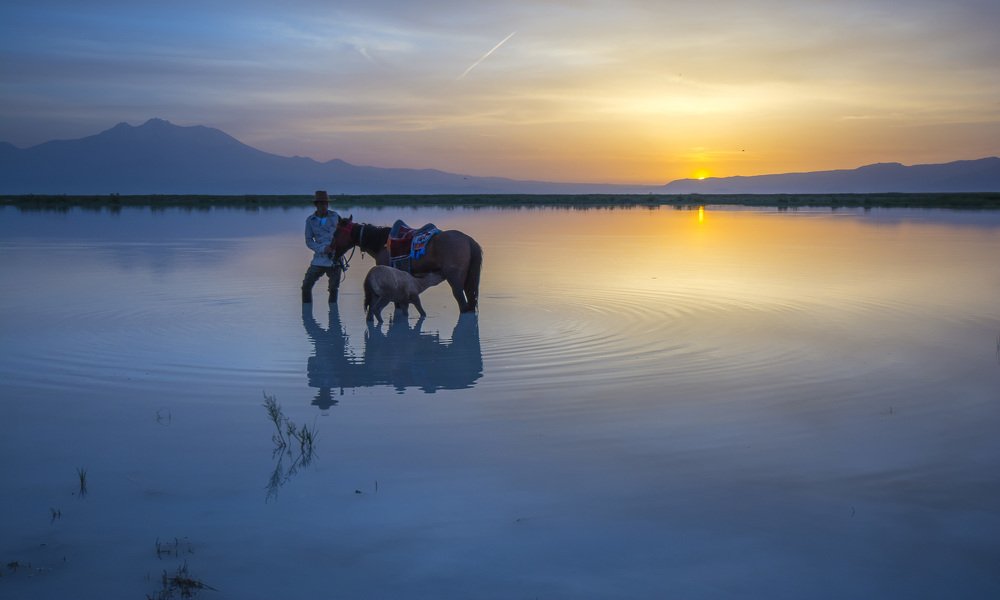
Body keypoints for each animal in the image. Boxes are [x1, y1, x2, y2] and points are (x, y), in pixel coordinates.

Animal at [333, 216, 483, 313]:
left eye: (335, 233)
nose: (329, 252)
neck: (381, 243)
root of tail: (468, 240)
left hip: (455, 280)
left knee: (463, 304)